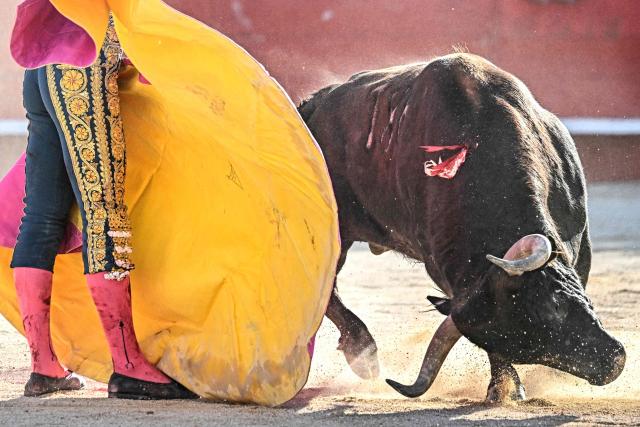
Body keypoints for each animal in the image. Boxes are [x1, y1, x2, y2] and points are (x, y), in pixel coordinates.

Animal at [298, 53, 625, 402]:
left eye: (555, 304)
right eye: (524, 351)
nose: (612, 365)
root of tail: (310, 105)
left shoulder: (582, 244)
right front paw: (504, 387)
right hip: (336, 231)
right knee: (327, 288)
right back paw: (364, 354)